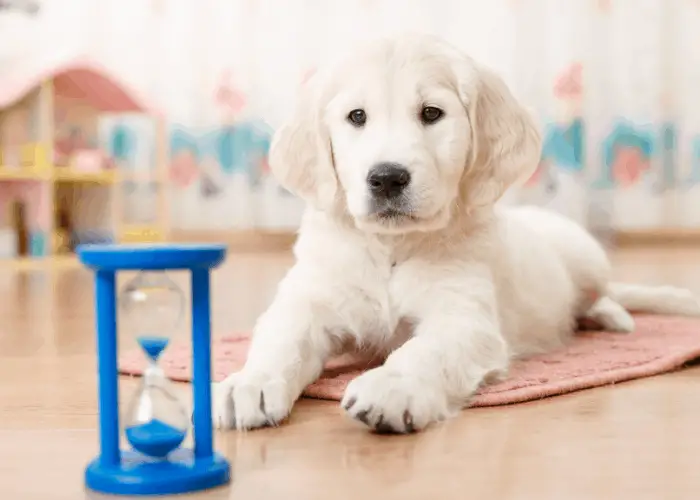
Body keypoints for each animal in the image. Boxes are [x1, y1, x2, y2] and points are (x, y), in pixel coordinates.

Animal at [215, 34, 700, 434]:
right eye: (356, 117)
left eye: (432, 113)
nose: (387, 178)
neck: (391, 247)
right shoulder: (310, 298)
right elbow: (282, 339)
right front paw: (249, 383)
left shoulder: (464, 317)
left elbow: (425, 351)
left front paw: (392, 386)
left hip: (586, 256)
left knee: (601, 294)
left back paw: (610, 317)